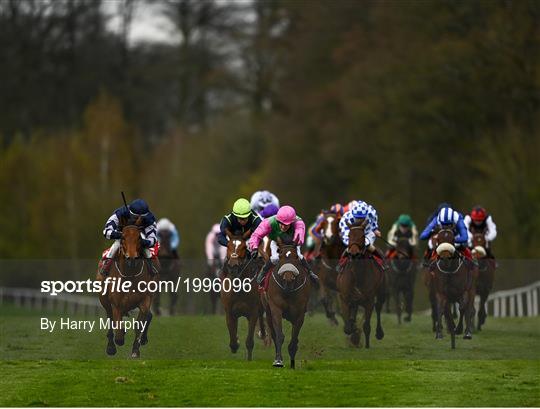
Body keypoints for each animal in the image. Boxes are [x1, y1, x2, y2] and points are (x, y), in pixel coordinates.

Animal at [97, 217, 157, 356]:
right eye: (123, 237)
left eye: (139, 238)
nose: (131, 258)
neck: (130, 274)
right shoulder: (116, 304)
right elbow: (118, 331)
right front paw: (119, 338)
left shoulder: (145, 301)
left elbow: (140, 324)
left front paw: (136, 349)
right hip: (105, 301)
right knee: (110, 319)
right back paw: (111, 347)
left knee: (148, 316)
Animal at [220, 230, 268, 360]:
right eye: (228, 246)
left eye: (243, 247)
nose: (233, 266)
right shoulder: (229, 311)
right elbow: (232, 338)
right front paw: (235, 343)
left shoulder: (253, 312)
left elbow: (249, 341)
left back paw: (263, 334)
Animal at [260, 236, 310, 366]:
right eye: (281, 255)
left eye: (296, 257)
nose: (288, 277)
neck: (288, 289)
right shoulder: (276, 308)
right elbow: (279, 336)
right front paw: (278, 360)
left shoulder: (299, 313)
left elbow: (294, 340)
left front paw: (292, 363)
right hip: (268, 312)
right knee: (272, 333)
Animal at [338, 220, 384, 348]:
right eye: (349, 235)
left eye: (362, 236)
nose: (354, 254)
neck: (357, 274)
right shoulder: (344, 298)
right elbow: (348, 327)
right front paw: (354, 334)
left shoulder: (369, 301)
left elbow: (366, 326)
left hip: (382, 292)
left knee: (379, 307)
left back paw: (379, 333)